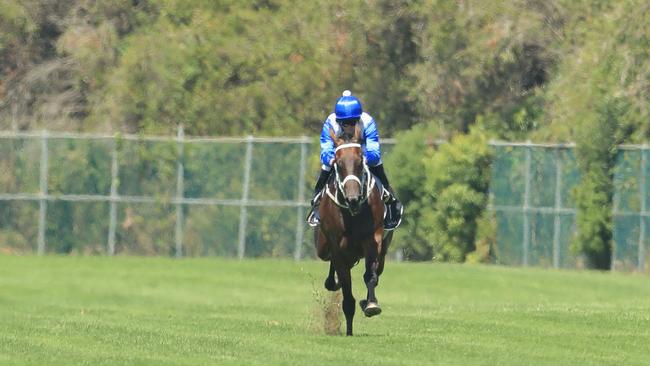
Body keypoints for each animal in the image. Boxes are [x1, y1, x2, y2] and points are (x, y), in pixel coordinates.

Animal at [312, 123, 390, 338]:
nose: (353, 199)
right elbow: (346, 288)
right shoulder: (336, 246)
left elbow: (370, 275)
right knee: (333, 272)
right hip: (322, 247)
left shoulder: (372, 239)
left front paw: (371, 304)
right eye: (338, 163)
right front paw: (348, 329)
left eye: (360, 160)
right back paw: (333, 281)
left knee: (377, 270)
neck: (352, 212)